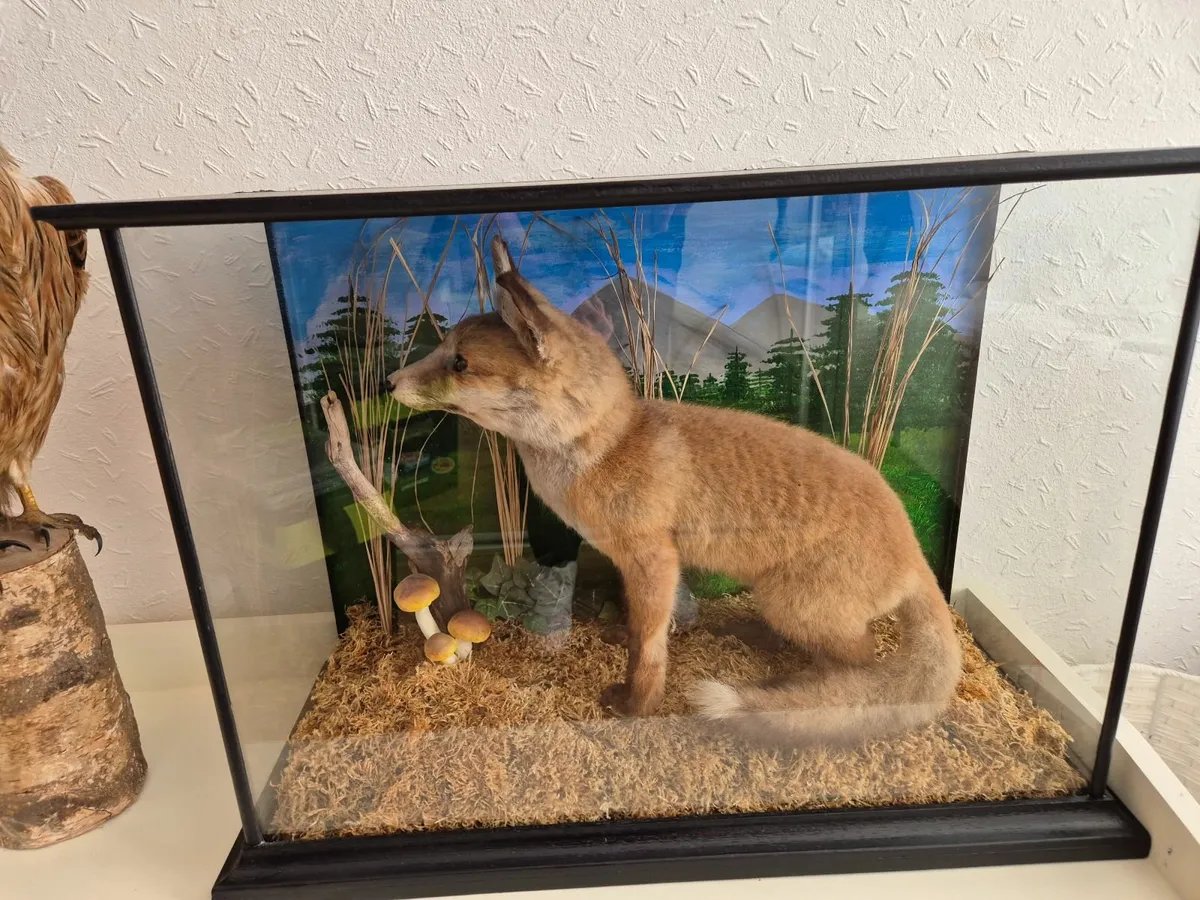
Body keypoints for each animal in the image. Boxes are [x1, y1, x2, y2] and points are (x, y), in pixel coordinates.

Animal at [384, 235, 962, 748]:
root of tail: (913, 548)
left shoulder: (654, 556)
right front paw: (622, 637)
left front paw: (637, 705)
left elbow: (649, 645)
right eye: (444, 351)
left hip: (797, 604)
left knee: (860, 667)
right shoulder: (631, 561)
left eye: (459, 363)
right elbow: (638, 621)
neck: (608, 447)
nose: (389, 381)